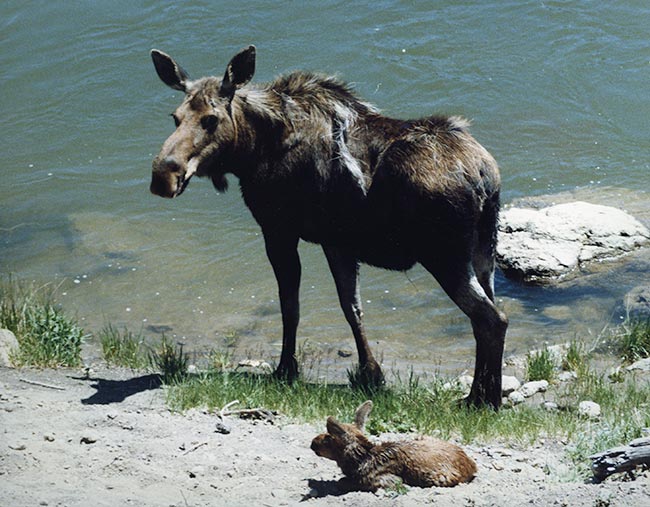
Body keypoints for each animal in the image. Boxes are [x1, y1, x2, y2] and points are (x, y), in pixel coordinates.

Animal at [151, 43, 506, 408]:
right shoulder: (337, 242)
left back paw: (482, 400)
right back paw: (483, 393)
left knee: (491, 318)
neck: (252, 151)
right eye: (175, 117)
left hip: (445, 256)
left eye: (211, 119)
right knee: (491, 312)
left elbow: (291, 305)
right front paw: (370, 374)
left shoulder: (279, 229)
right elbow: (352, 308)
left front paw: (287, 369)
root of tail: (485, 177)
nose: (164, 175)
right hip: (484, 250)